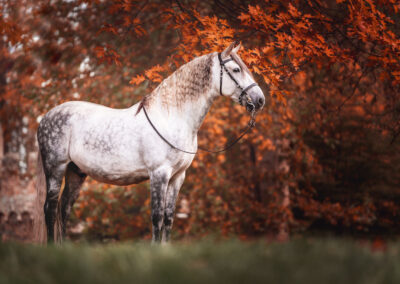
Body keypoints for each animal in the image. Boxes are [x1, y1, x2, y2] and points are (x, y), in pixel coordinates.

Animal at [34, 43, 266, 243]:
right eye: (236, 69)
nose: (260, 99)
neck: (171, 117)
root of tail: (45, 117)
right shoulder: (159, 174)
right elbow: (157, 217)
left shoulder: (177, 177)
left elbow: (169, 217)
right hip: (56, 168)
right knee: (50, 209)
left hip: (76, 172)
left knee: (64, 209)